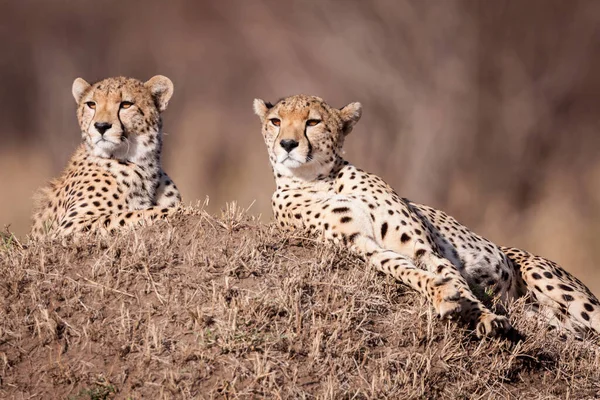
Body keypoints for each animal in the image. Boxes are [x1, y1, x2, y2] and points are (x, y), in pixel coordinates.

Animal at [31, 74, 182, 238]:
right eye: (91, 104)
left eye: (126, 104)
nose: (101, 126)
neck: (143, 164)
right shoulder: (70, 226)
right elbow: (137, 213)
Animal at [253, 94, 600, 338]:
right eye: (276, 121)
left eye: (312, 122)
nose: (288, 144)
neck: (320, 178)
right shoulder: (361, 245)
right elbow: (407, 270)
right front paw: (445, 297)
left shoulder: (422, 245)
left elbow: (452, 275)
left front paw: (483, 315)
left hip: (551, 282)